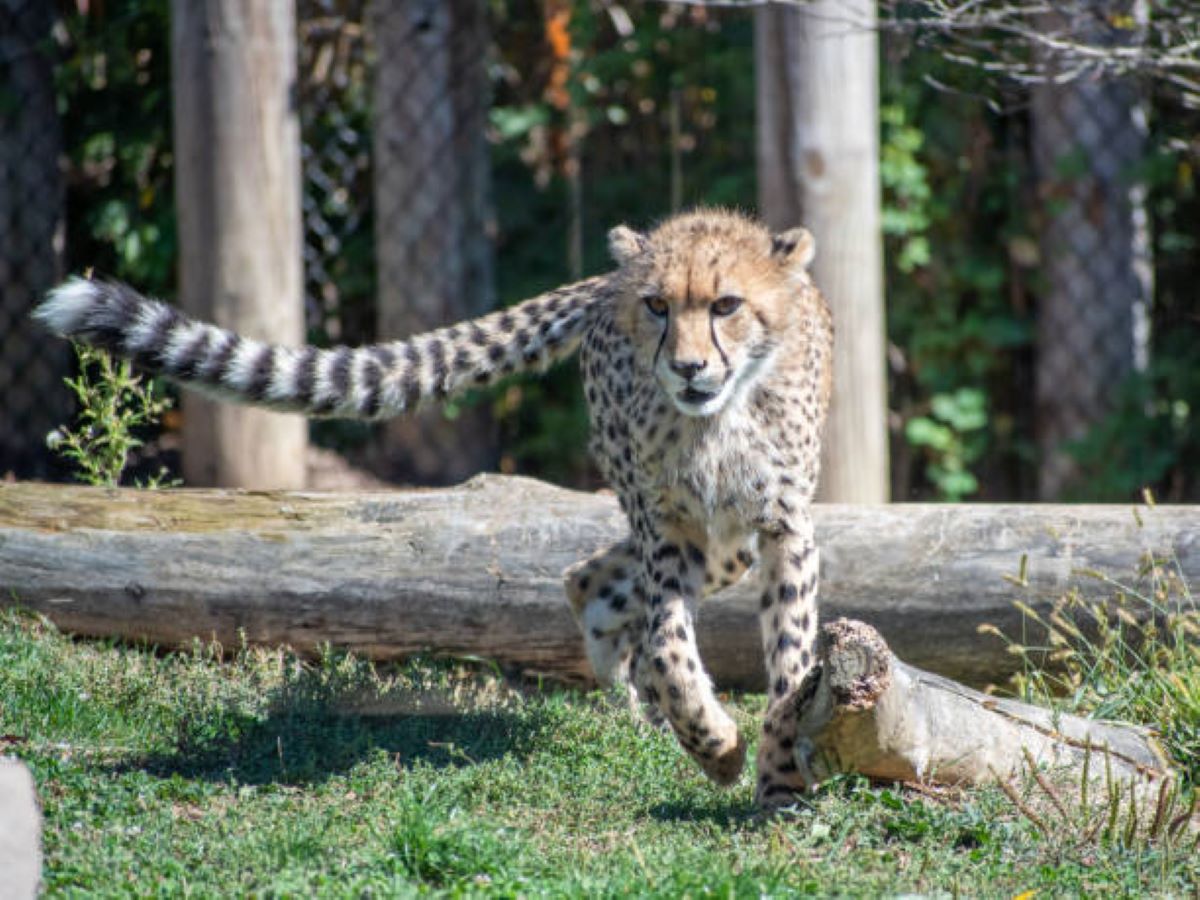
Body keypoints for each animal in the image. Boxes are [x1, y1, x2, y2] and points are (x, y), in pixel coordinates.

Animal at [34, 208, 833, 807]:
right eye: (659, 306)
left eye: (726, 305)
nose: (688, 367)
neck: (718, 419)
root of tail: (605, 275)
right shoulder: (667, 530)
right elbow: (670, 648)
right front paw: (719, 747)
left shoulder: (782, 528)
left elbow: (792, 661)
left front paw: (779, 779)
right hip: (683, 531)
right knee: (592, 583)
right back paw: (639, 712)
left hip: (725, 545)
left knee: (596, 579)